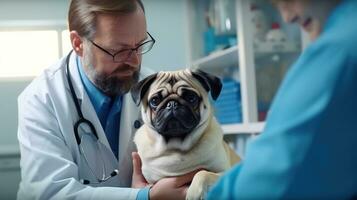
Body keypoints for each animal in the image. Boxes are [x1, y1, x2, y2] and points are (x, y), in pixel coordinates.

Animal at [129, 69, 241, 199]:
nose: (172, 104)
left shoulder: (224, 172)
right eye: (154, 101)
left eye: (191, 98)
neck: (176, 147)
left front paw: (194, 193)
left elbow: (202, 173)